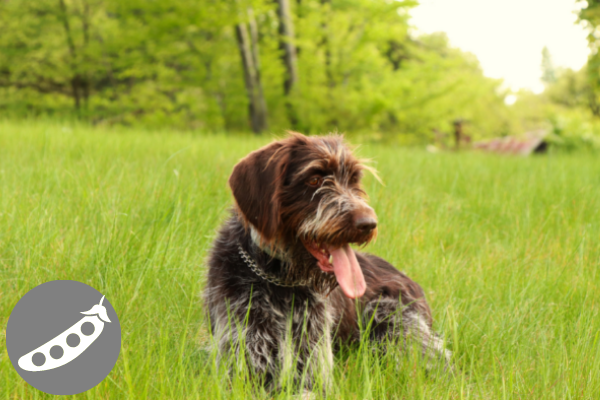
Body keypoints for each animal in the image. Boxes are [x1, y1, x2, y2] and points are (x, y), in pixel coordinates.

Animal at [204, 133, 448, 392]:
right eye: (314, 179)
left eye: (353, 179)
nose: (368, 224)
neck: (280, 279)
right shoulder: (243, 362)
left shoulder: (313, 368)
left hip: (390, 316)